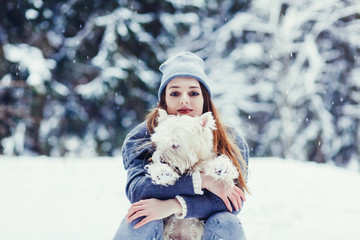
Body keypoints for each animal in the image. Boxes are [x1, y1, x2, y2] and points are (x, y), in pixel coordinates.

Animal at [145, 109, 238, 240]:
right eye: (159, 142)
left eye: (175, 145)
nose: (160, 160)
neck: (191, 166)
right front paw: (162, 172)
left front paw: (221, 168)